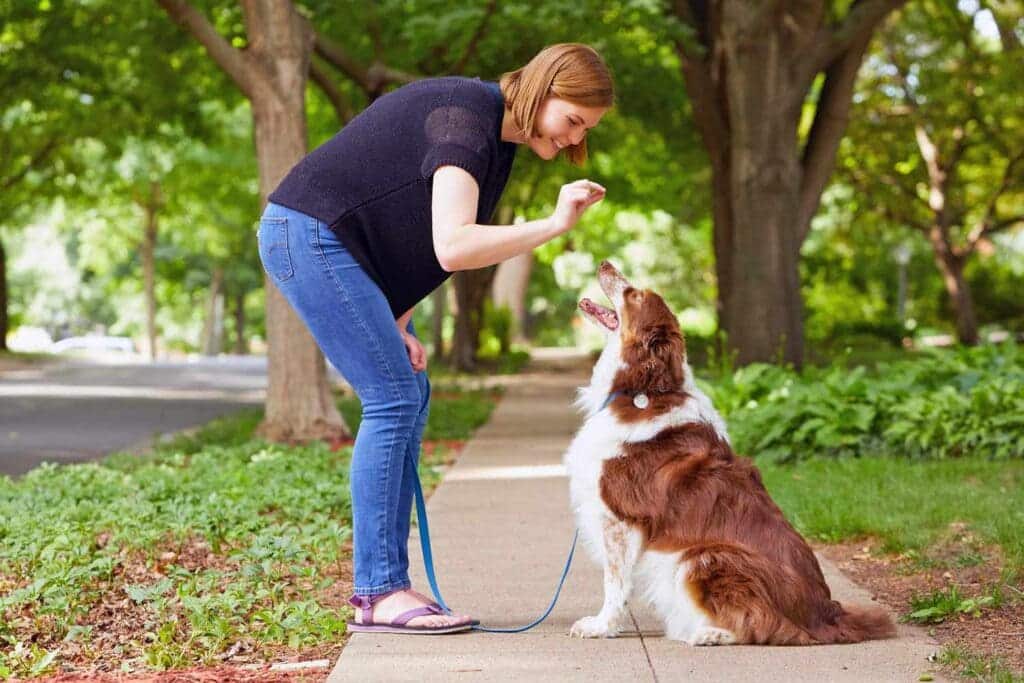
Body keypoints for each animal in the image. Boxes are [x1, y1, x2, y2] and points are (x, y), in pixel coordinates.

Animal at [565, 264, 892, 647]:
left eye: (634, 294)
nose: (605, 264)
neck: (641, 392)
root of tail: (827, 613)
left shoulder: (621, 518)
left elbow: (615, 583)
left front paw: (601, 626)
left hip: (706, 556)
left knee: (767, 624)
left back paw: (709, 633)